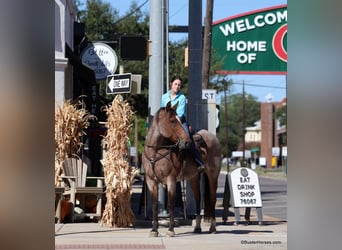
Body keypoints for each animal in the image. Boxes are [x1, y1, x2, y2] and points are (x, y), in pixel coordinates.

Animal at [142, 101, 222, 236]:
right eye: (173, 121)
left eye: (179, 119)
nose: (186, 142)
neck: (155, 152)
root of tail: (213, 138)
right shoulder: (151, 181)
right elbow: (154, 205)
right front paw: (154, 230)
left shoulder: (171, 180)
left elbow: (171, 204)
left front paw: (170, 230)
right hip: (194, 178)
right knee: (198, 198)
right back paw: (197, 227)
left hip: (213, 175)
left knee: (212, 199)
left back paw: (213, 228)